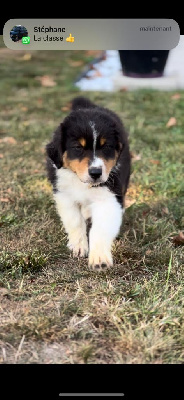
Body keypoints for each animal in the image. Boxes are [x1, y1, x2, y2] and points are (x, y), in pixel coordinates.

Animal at [45, 97, 131, 270]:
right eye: (78, 147)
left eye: (106, 146)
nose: (96, 173)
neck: (81, 182)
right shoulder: (64, 195)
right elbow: (74, 221)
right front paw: (78, 246)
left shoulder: (108, 198)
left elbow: (100, 229)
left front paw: (99, 258)